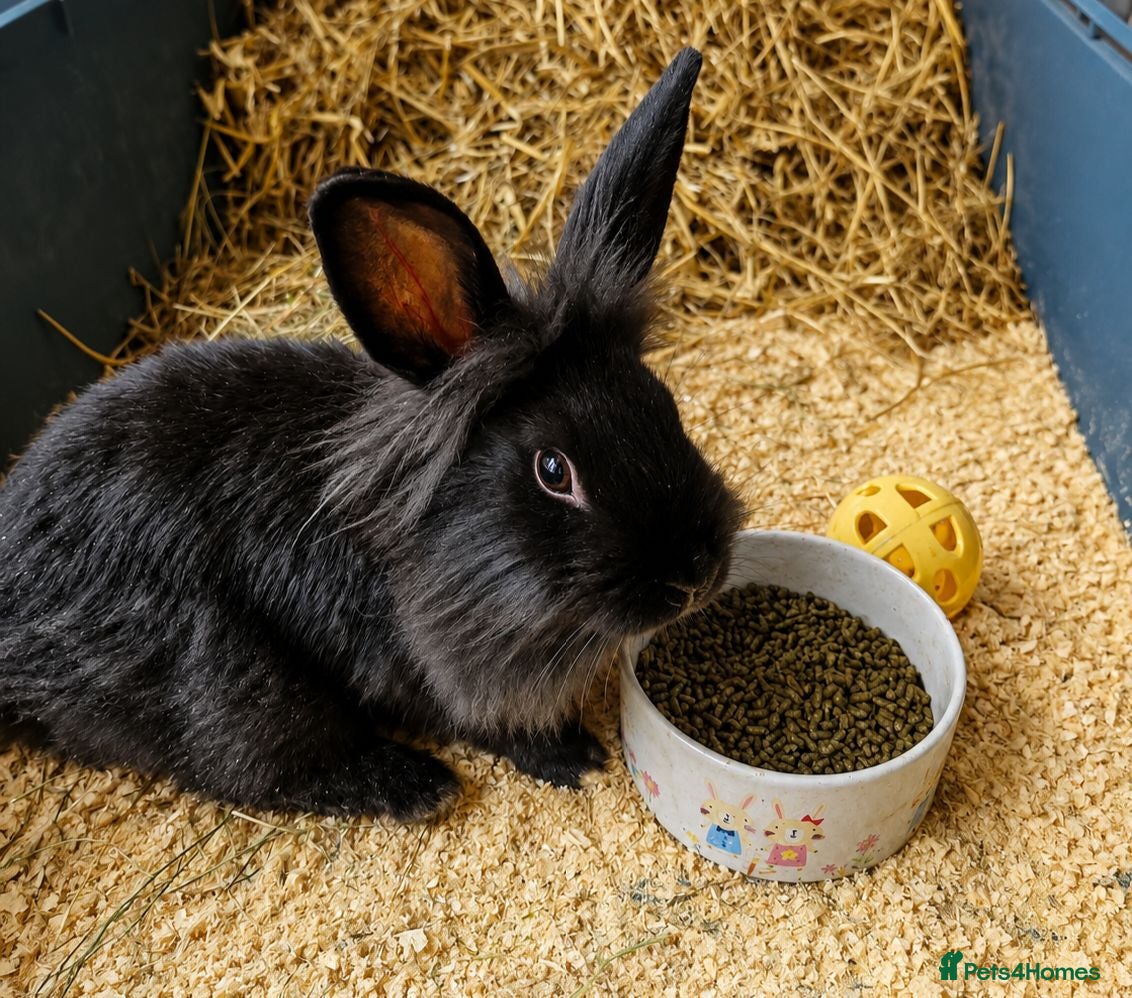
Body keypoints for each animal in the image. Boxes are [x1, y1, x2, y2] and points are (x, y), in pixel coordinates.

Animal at [0, 48, 742, 822]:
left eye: (664, 405)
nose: (695, 573)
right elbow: (482, 723)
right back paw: (417, 784)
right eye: (552, 470)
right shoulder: (430, 668)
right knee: (260, 768)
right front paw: (572, 756)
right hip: (234, 682)